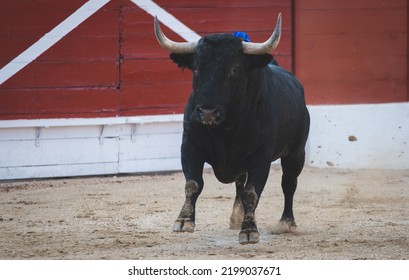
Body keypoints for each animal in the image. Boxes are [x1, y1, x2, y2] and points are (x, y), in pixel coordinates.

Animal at [154, 14, 310, 244]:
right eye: (196, 68)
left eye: (235, 69)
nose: (207, 112)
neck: (224, 129)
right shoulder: (190, 146)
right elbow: (193, 183)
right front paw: (184, 220)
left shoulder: (260, 158)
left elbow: (251, 193)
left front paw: (249, 231)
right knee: (239, 184)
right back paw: (237, 217)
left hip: (296, 153)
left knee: (289, 184)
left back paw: (286, 223)